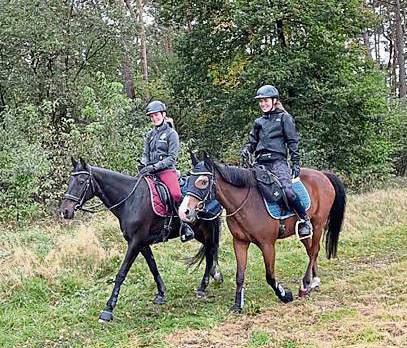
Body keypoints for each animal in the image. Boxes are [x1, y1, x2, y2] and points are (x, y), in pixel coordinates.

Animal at [59, 159, 223, 322]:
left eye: (81, 181)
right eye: (70, 181)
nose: (64, 211)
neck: (130, 201)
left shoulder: (135, 243)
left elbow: (121, 273)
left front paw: (108, 309)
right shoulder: (142, 244)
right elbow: (153, 267)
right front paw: (161, 293)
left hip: (208, 229)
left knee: (210, 251)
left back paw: (203, 286)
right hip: (200, 232)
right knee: (209, 251)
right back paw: (214, 276)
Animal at [180, 154, 346, 312]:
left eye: (203, 181)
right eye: (188, 179)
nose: (184, 211)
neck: (247, 203)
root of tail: (323, 175)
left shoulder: (267, 245)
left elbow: (270, 276)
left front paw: (285, 295)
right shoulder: (240, 242)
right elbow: (240, 275)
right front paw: (237, 305)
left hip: (318, 224)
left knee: (314, 251)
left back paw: (305, 285)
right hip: (304, 231)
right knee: (310, 250)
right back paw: (313, 281)